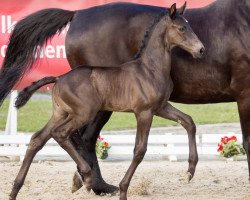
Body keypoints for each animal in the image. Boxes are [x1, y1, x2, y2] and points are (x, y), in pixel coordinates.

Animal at [0, 0, 249, 195]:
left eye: (189, 26)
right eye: (181, 28)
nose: (201, 50)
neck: (149, 68)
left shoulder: (161, 107)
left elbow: (188, 122)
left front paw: (189, 171)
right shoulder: (145, 112)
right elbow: (140, 149)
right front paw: (123, 188)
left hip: (64, 113)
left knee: (41, 139)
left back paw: (20, 189)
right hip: (87, 112)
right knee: (72, 136)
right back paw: (92, 181)